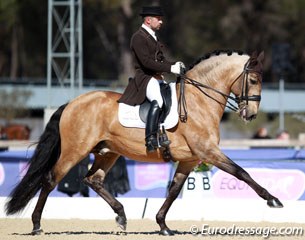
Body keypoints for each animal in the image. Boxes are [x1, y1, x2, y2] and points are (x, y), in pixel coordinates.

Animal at [4, 49, 282, 235]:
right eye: (253, 80)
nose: (251, 115)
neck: (199, 102)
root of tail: (72, 102)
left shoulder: (190, 159)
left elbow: (174, 190)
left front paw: (163, 225)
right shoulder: (208, 152)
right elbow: (241, 172)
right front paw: (272, 200)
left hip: (108, 152)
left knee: (93, 179)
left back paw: (121, 216)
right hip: (75, 150)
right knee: (51, 179)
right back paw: (37, 225)